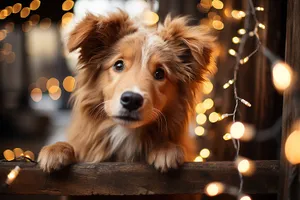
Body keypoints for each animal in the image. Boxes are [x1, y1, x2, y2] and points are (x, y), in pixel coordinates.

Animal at [37, 10, 216, 173]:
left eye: (160, 73)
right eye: (118, 65)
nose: (132, 100)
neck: (125, 134)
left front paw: (166, 148)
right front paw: (56, 149)